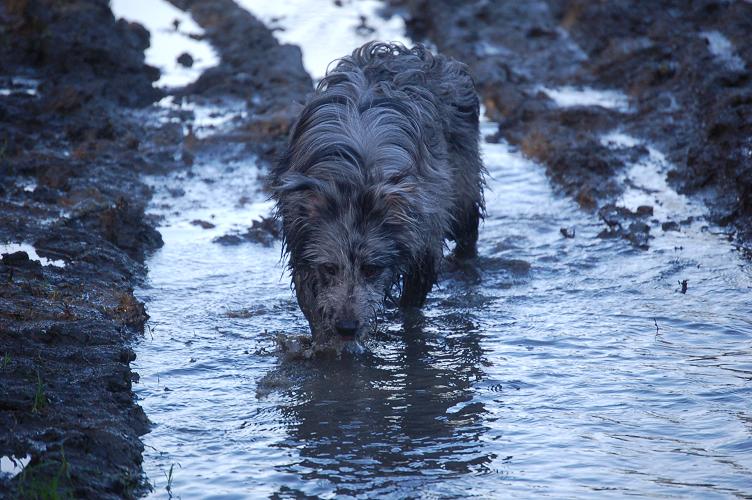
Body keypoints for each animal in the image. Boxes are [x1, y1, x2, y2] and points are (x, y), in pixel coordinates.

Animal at [274, 42, 484, 344]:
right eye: (329, 268)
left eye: (372, 269)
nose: (347, 327)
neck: (356, 180)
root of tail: (406, 53)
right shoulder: (300, 239)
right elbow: (311, 300)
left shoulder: (424, 236)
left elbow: (413, 298)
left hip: (464, 182)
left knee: (468, 227)